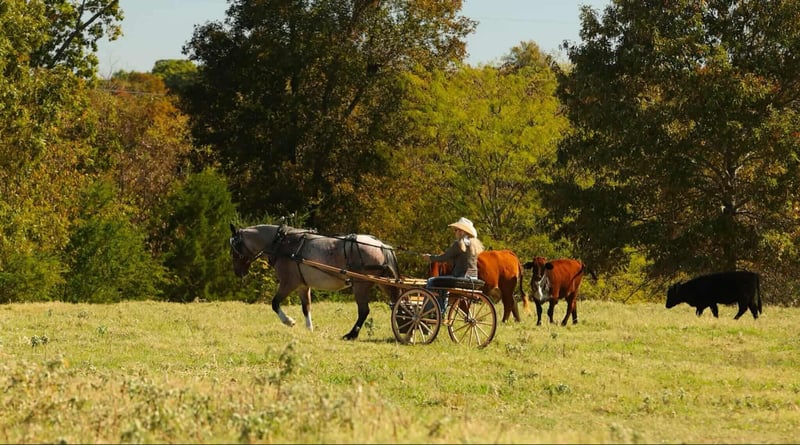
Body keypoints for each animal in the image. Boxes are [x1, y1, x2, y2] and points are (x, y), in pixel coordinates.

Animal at [229, 223, 401, 340]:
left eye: (234, 249)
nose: (238, 272)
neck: (282, 242)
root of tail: (381, 245)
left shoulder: (288, 283)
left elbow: (275, 303)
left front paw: (289, 321)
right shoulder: (302, 286)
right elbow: (306, 308)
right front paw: (309, 328)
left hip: (361, 285)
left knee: (364, 311)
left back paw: (351, 335)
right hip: (383, 282)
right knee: (396, 304)